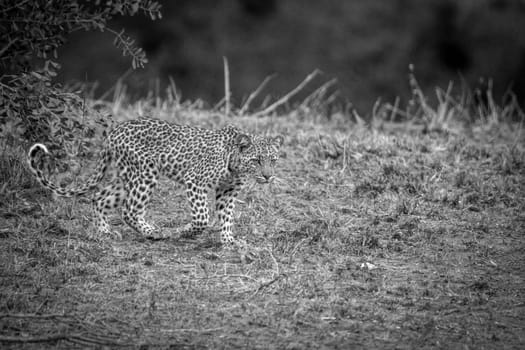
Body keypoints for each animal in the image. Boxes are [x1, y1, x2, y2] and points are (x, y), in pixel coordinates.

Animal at [28, 117, 282, 246]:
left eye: (273, 160)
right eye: (257, 160)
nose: (268, 176)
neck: (235, 165)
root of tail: (114, 131)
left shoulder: (227, 191)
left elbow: (227, 217)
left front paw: (230, 241)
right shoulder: (195, 182)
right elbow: (201, 217)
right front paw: (184, 231)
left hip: (127, 176)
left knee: (100, 197)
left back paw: (105, 232)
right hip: (145, 174)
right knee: (129, 210)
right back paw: (154, 232)